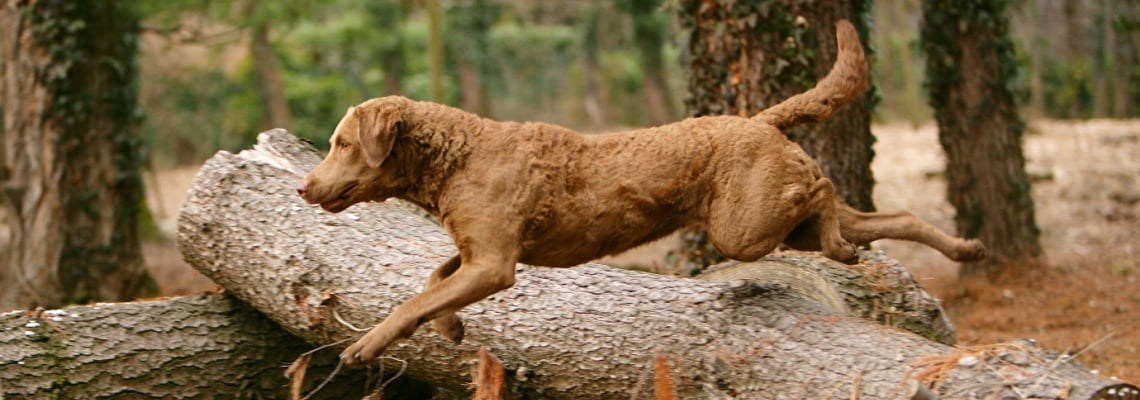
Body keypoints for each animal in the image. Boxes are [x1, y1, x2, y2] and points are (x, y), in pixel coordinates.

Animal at [298, 21, 984, 366]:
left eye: (340, 142)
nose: (303, 186)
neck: (456, 156)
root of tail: (758, 120)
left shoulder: (494, 263)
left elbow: (410, 301)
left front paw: (363, 347)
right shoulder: (481, 254)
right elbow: (431, 281)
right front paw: (451, 327)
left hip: (746, 226)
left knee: (824, 188)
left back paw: (850, 247)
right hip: (783, 224)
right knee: (889, 214)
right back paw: (963, 249)